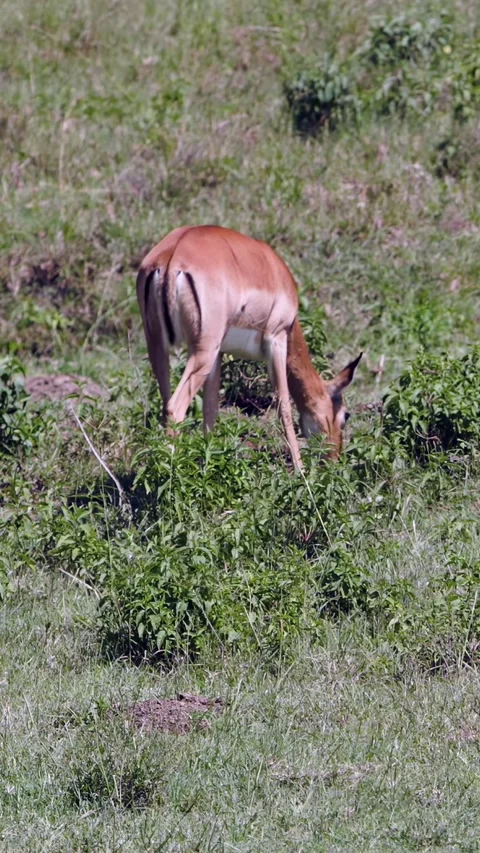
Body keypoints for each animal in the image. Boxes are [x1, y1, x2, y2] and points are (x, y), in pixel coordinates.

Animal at [136, 225, 361, 469]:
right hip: (202, 352)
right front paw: (300, 470)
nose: (335, 460)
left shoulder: (219, 354)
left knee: (165, 404)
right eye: (346, 415)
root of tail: (172, 257)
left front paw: (208, 463)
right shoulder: (277, 339)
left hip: (158, 346)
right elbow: (284, 406)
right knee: (174, 409)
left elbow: (210, 407)